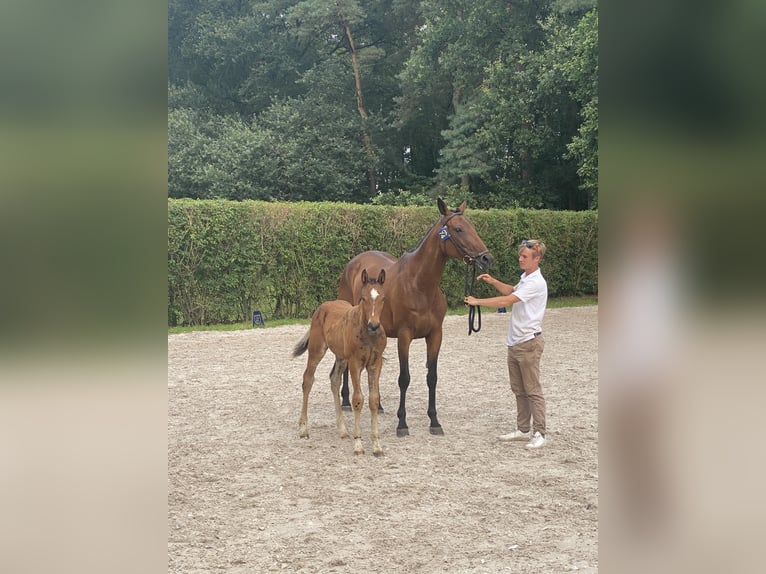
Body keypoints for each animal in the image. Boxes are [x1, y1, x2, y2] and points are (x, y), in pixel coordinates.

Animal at [294, 270, 390, 460]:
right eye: (363, 298)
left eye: (382, 298)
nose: (374, 325)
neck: (368, 334)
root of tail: (321, 308)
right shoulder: (355, 363)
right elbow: (358, 399)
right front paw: (358, 445)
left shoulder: (375, 364)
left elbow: (374, 400)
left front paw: (377, 446)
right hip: (317, 350)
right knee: (307, 380)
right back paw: (303, 429)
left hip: (340, 357)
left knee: (334, 379)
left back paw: (343, 430)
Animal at [340, 200, 496, 438]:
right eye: (458, 229)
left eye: (473, 226)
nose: (486, 258)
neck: (419, 285)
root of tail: (353, 264)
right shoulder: (405, 336)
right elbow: (404, 378)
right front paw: (402, 423)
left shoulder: (435, 335)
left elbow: (432, 377)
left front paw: (434, 421)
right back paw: (346, 401)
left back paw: (379, 405)